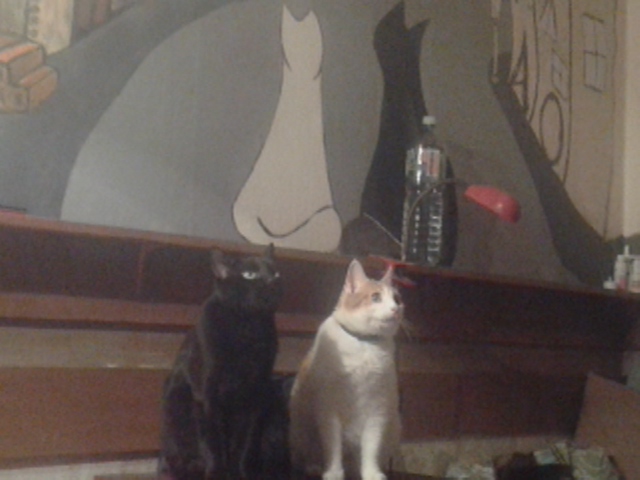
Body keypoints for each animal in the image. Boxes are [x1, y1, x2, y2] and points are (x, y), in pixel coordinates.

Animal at [158, 245, 291, 480]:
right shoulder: (207, 395)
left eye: (276, 273)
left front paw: (241, 472)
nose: (272, 282)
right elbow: (213, 440)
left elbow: (245, 443)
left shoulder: (256, 394)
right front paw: (217, 473)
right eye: (249, 275)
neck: (248, 328)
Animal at [288, 258, 403, 480]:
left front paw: (371, 473)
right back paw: (313, 466)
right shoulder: (329, 410)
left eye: (397, 299)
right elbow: (333, 447)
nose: (395, 309)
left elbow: (371, 447)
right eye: (376, 297)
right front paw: (333, 472)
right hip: (300, 425)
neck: (364, 343)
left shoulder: (378, 408)